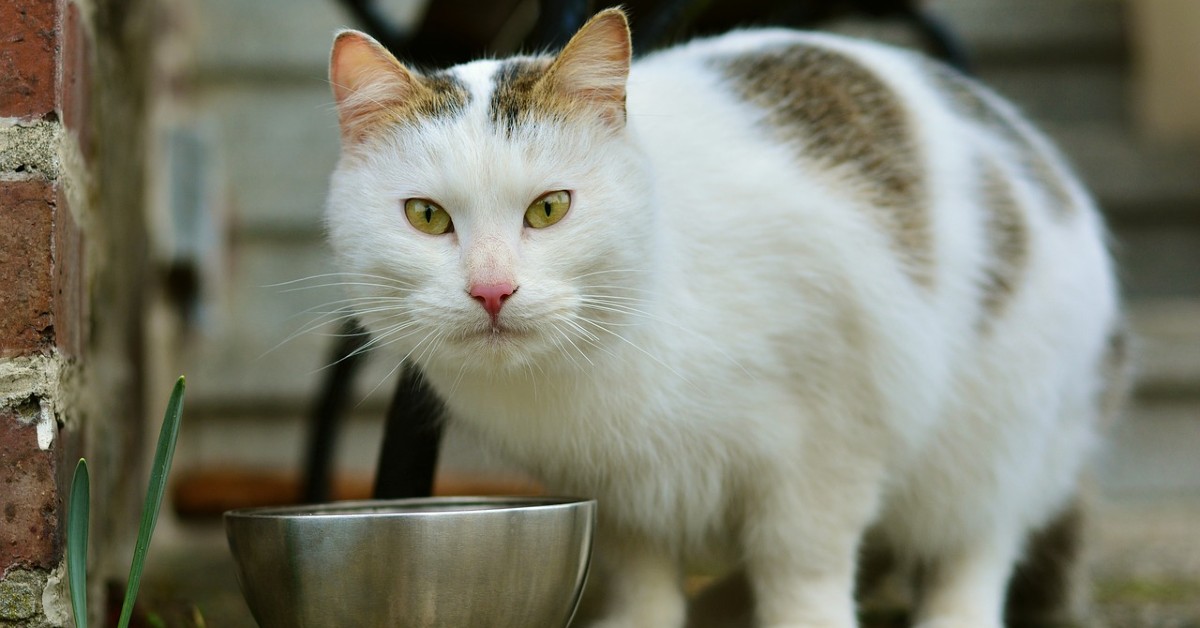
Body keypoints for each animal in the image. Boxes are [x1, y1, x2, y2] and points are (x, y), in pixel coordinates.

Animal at [321, 9, 1123, 628]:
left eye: (549, 208)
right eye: (427, 216)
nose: (492, 290)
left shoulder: (833, 432)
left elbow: (804, 562)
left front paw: (805, 621)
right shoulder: (611, 485)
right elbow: (640, 568)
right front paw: (645, 622)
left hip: (997, 430)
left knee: (978, 543)